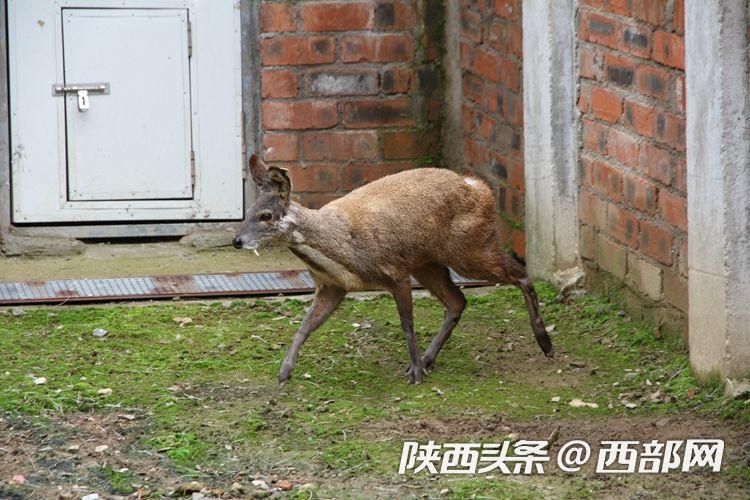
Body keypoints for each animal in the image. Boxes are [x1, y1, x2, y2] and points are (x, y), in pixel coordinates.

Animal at [238, 156, 556, 386]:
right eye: (248, 212)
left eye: (266, 215)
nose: (238, 240)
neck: (343, 242)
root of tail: (478, 186)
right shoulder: (333, 286)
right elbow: (305, 326)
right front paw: (284, 372)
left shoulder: (395, 272)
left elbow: (407, 325)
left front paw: (414, 374)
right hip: (428, 263)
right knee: (458, 300)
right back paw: (429, 359)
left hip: (470, 247)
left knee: (518, 273)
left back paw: (545, 343)